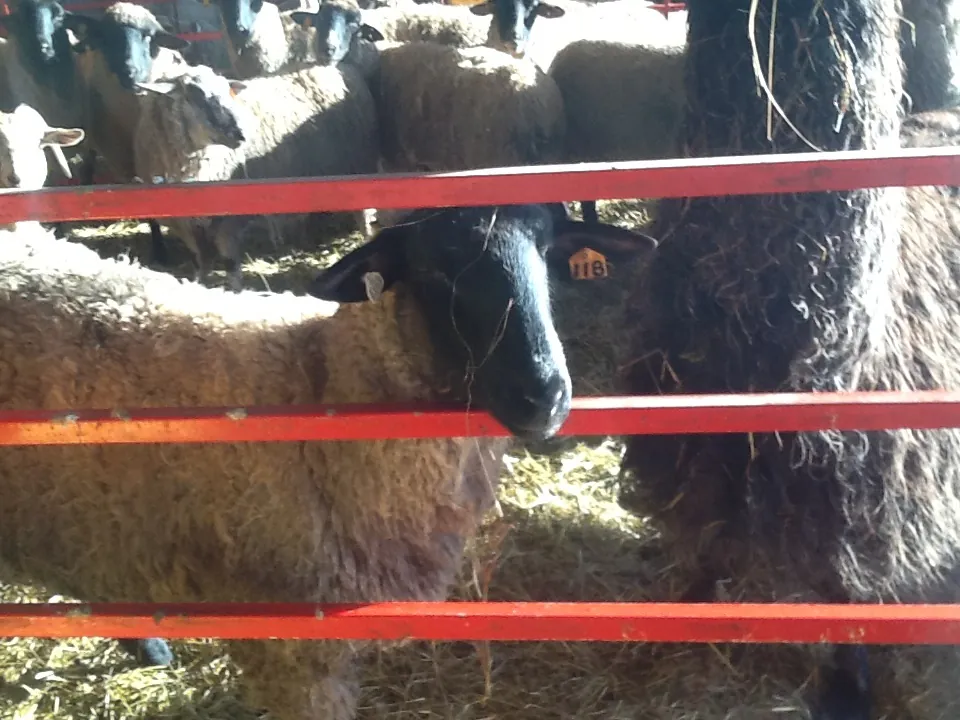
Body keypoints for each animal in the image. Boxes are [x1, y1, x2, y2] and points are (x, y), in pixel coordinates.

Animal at [619, 0, 960, 718]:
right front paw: (688, 613)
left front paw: (848, 686)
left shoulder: (855, 487)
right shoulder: (697, 447)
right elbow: (709, 540)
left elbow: (845, 589)